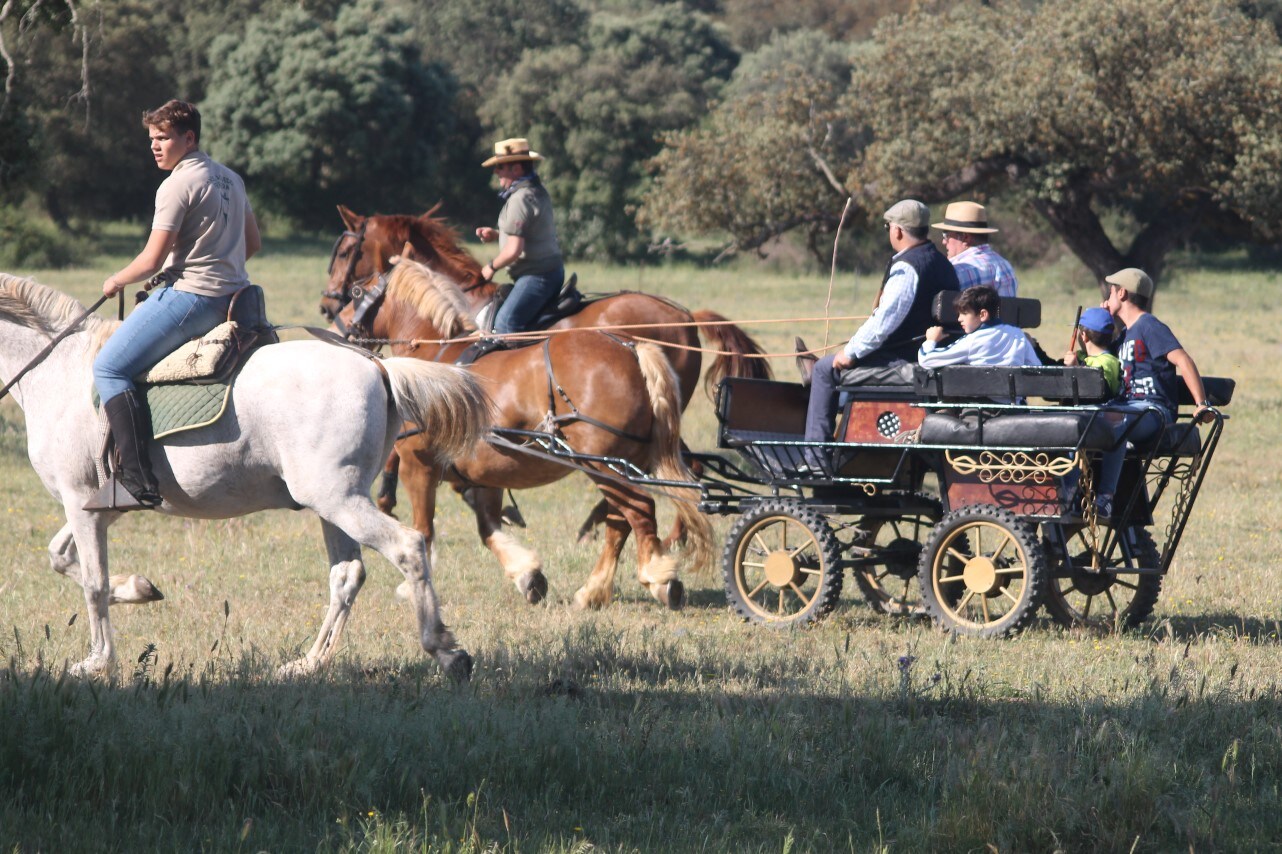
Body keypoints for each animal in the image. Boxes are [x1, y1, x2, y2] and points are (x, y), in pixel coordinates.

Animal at [0, 273, 489, 677]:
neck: (57, 370)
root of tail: (377, 364)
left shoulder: (80, 501)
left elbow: (93, 584)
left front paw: (98, 660)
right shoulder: (98, 504)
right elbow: (61, 557)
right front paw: (138, 588)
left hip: (339, 500)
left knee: (407, 548)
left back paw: (445, 650)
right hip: (336, 503)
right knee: (347, 575)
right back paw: (309, 663)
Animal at [335, 256, 717, 607]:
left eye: (356, 291)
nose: (341, 331)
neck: (435, 353)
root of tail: (631, 347)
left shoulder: (419, 465)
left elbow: (424, 528)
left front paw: (410, 585)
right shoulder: (484, 473)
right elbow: (488, 527)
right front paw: (527, 574)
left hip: (601, 462)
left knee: (639, 509)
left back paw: (657, 576)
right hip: (621, 463)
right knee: (619, 520)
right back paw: (593, 590)